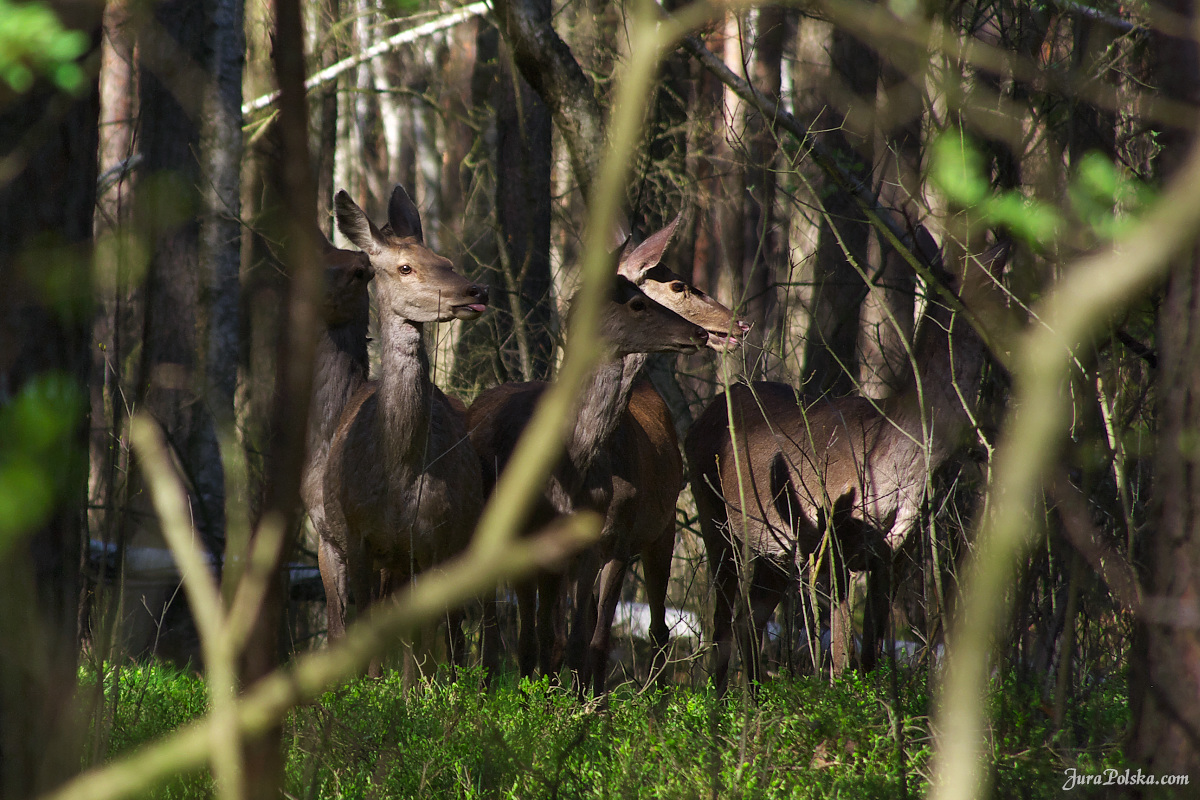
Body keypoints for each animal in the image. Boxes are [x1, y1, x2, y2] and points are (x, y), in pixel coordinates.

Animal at [321, 183, 489, 676]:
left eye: (445, 259)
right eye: (405, 267)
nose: (476, 290)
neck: (400, 470)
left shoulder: (433, 539)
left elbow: (422, 641)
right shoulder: (354, 536)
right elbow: (360, 624)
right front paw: (363, 688)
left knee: (451, 628)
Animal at [465, 231, 710, 690]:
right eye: (636, 304)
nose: (700, 333)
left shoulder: (597, 543)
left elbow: (583, 642)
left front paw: (579, 706)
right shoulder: (535, 545)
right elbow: (540, 639)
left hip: (659, 530)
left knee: (654, 628)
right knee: (495, 629)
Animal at [681, 231, 1008, 695]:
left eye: (997, 284)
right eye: (958, 285)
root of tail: (699, 418)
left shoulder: (896, 554)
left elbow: (869, 653)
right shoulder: (833, 540)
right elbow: (839, 656)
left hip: (776, 549)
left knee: (748, 620)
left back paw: (755, 699)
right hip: (715, 517)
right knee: (721, 620)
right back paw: (718, 699)